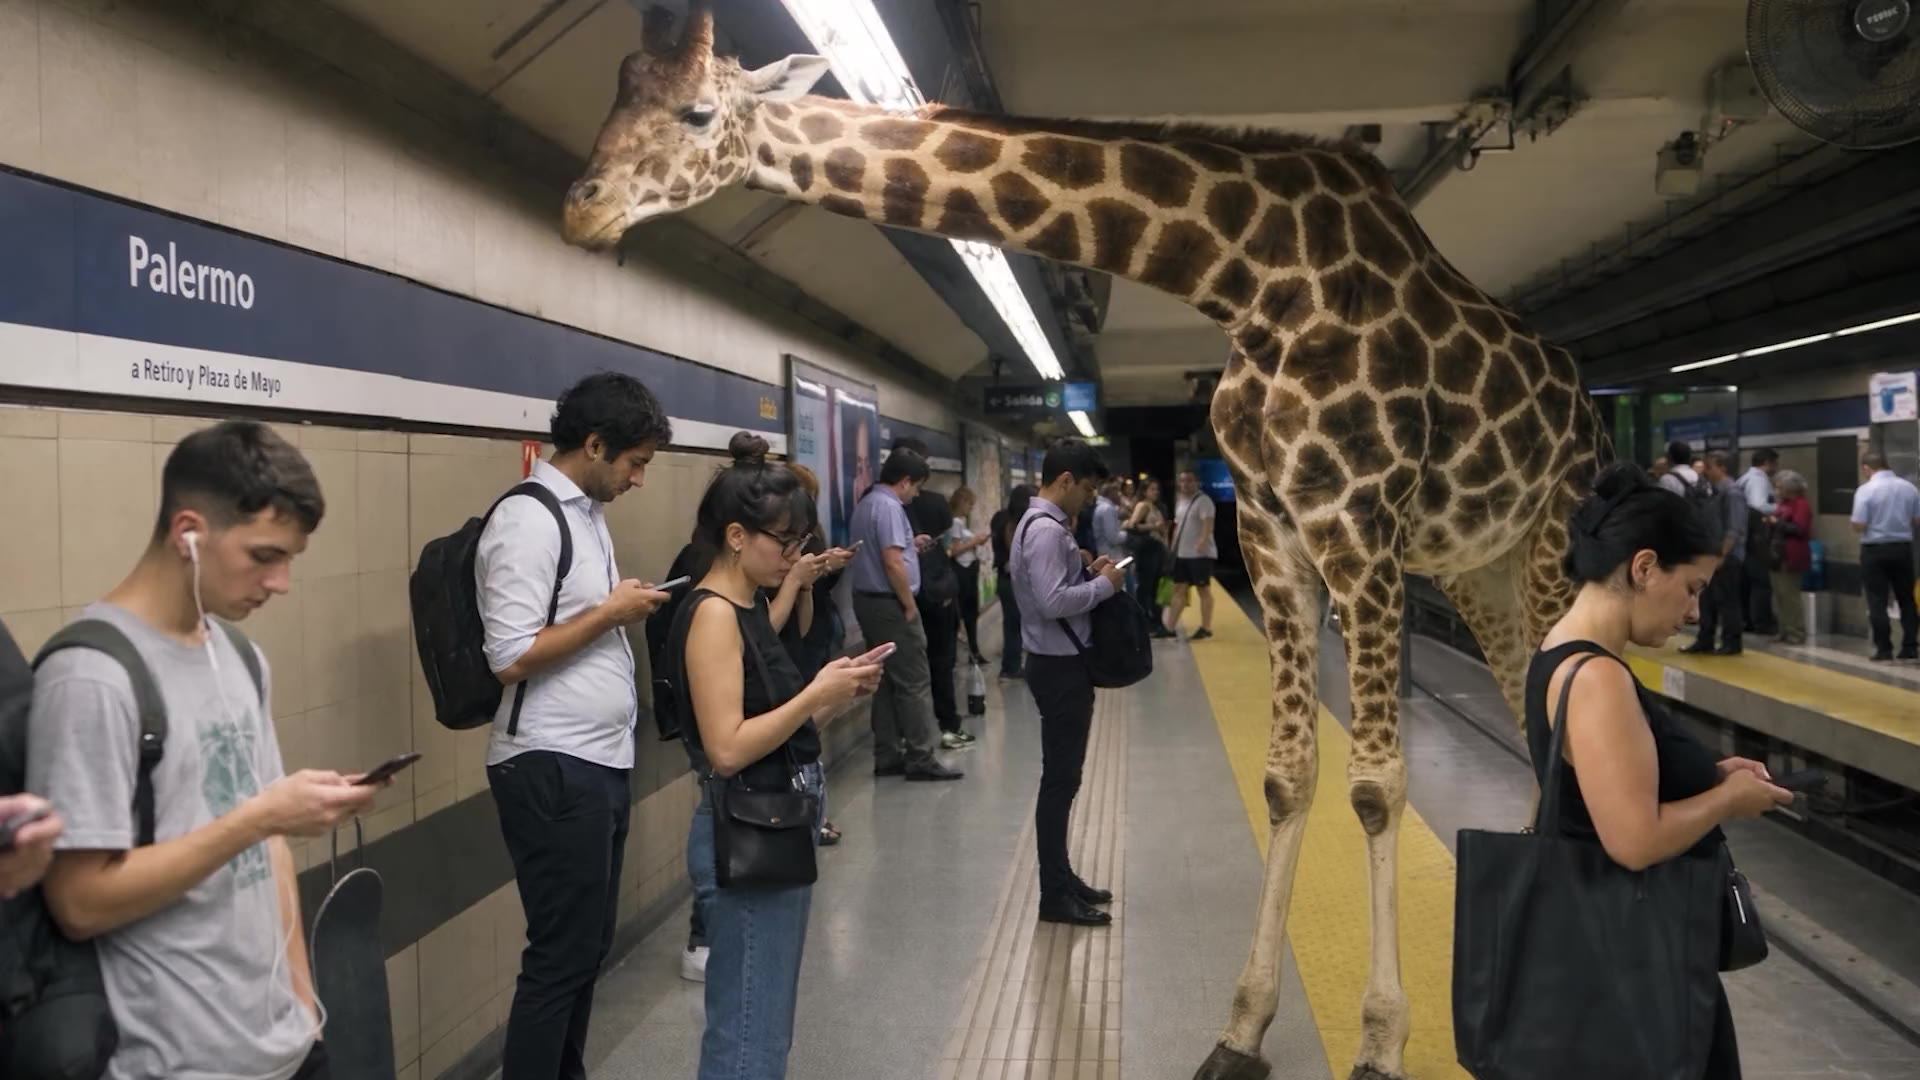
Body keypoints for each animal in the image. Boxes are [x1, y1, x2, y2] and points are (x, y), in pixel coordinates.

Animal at [560, 7, 1605, 1078]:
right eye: (618, 86)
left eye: (696, 111)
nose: (581, 209)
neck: (1255, 278)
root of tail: (1582, 400)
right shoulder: (1274, 531)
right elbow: (1290, 776)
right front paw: (1241, 1029)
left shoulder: (1359, 521)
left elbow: (1374, 784)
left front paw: (1382, 1043)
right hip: (1480, 561)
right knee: (1531, 694)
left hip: (1549, 530)